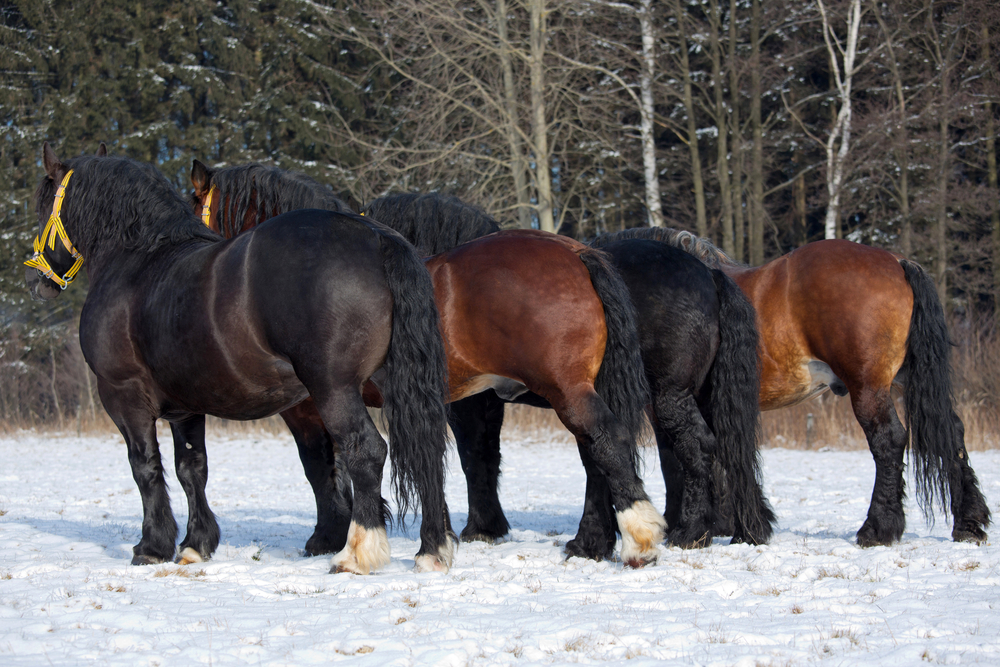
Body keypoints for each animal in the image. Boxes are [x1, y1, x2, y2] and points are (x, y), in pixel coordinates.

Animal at [23, 145, 454, 576]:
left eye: (43, 205)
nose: (38, 281)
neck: (137, 259)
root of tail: (377, 237)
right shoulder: (186, 408)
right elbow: (191, 468)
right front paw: (195, 544)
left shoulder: (124, 398)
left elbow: (145, 467)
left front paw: (151, 546)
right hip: (401, 387)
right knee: (427, 449)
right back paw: (432, 550)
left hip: (334, 388)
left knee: (366, 450)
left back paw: (355, 553)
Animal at [191, 163, 668, 568]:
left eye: (197, 210)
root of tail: (577, 253)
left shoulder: (309, 407)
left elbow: (321, 467)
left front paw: (329, 537)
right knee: (597, 453)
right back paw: (594, 542)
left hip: (567, 389)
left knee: (605, 442)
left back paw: (633, 538)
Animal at [600, 227, 992, 544]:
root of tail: (897, 262)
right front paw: (734, 522)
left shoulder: (665, 400)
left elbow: (676, 461)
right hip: (906, 382)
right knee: (951, 432)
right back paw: (968, 524)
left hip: (868, 388)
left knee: (889, 441)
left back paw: (878, 529)